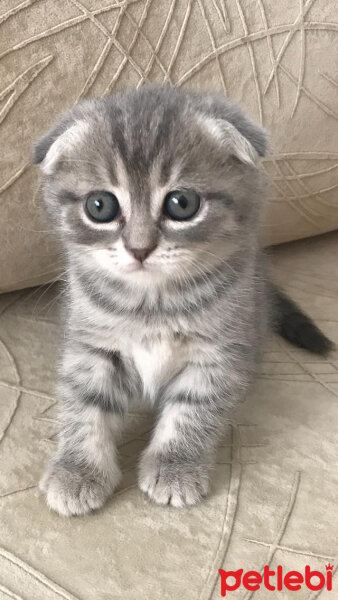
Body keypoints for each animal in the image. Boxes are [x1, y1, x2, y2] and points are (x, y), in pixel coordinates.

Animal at [35, 84, 332, 516]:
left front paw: (175, 466)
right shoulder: (92, 345)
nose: (139, 248)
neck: (153, 303)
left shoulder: (218, 354)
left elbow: (193, 410)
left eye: (182, 204)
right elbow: (85, 404)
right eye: (99, 206)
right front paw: (78, 471)